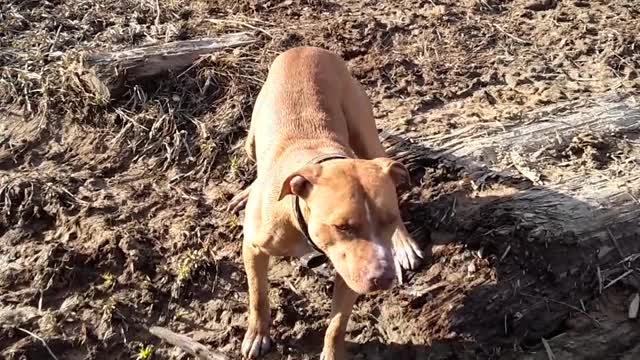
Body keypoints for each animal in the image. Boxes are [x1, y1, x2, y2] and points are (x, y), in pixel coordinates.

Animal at [230, 47, 424, 360]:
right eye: (342, 226)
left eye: (389, 220)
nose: (384, 277)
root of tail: (305, 49)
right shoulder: (254, 247)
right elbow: (258, 295)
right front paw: (257, 335)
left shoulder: (349, 271)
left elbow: (337, 324)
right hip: (252, 139)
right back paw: (248, 190)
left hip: (366, 134)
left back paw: (404, 244)